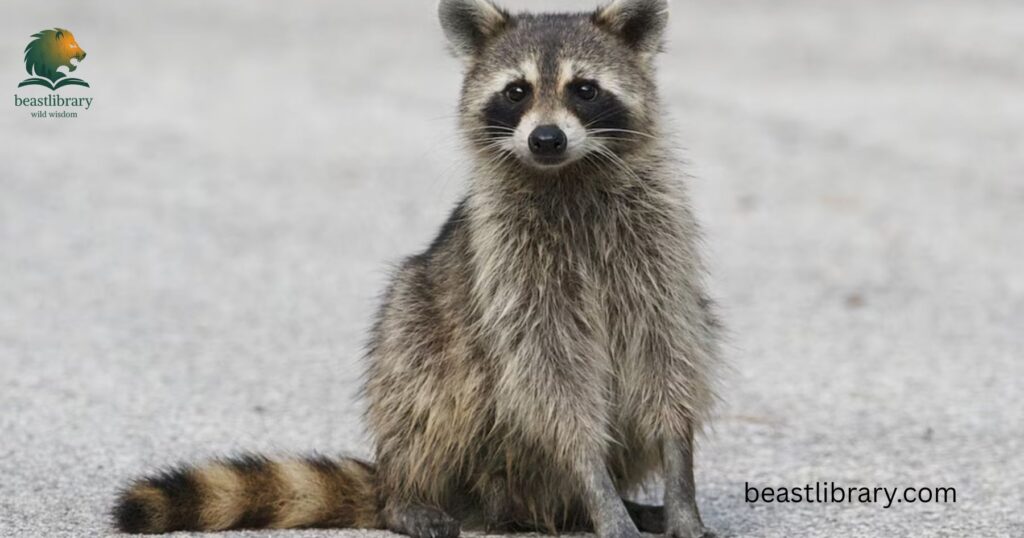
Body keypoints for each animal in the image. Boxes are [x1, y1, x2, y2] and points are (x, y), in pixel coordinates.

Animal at [111, 1, 721, 537]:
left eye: (585, 89)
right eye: (517, 91)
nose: (546, 138)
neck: (567, 174)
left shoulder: (657, 249)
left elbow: (670, 356)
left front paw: (677, 481)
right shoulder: (511, 268)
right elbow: (550, 378)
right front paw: (595, 484)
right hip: (420, 321)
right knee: (422, 380)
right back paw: (415, 495)